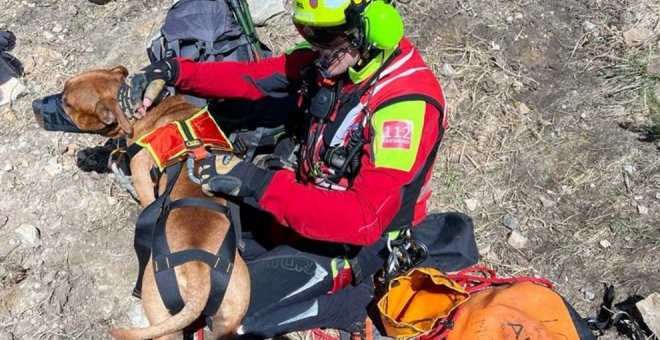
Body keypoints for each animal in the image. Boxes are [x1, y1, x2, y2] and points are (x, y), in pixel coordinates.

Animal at [31, 65, 248, 338]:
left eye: (67, 103)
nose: (33, 104)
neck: (149, 110)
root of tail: (199, 275)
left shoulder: (144, 184)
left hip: (161, 316)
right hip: (229, 316)